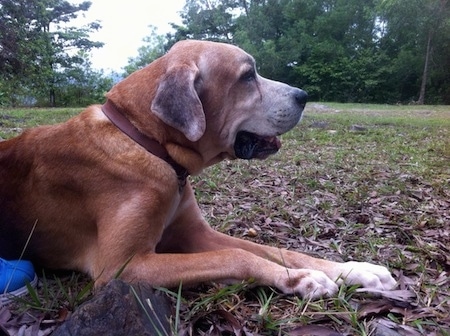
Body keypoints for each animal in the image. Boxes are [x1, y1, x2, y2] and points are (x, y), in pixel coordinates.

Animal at [0, 40, 394, 300]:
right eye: (248, 76)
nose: (304, 96)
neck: (147, 141)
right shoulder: (121, 268)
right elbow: (237, 255)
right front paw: (301, 279)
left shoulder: (196, 235)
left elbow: (269, 248)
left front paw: (357, 270)